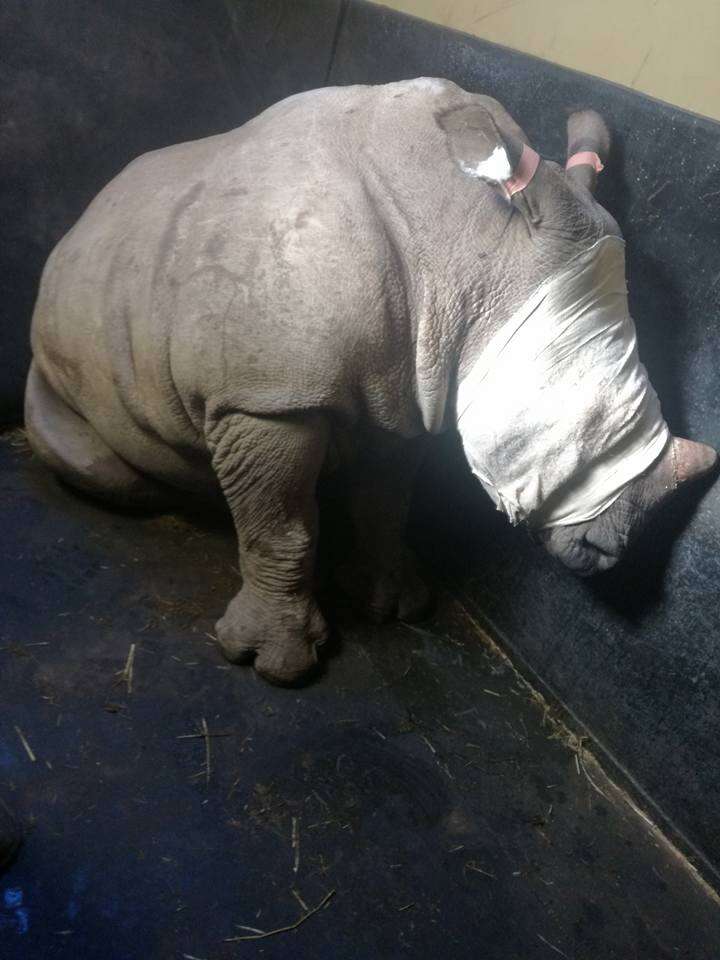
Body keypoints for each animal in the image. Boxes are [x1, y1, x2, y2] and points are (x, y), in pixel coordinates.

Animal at [25, 78, 716, 684]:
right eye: (576, 419)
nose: (609, 554)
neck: (468, 239)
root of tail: (74, 231)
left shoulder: (409, 384)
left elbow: (387, 501)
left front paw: (398, 604)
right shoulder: (267, 399)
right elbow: (279, 527)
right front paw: (275, 664)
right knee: (109, 469)